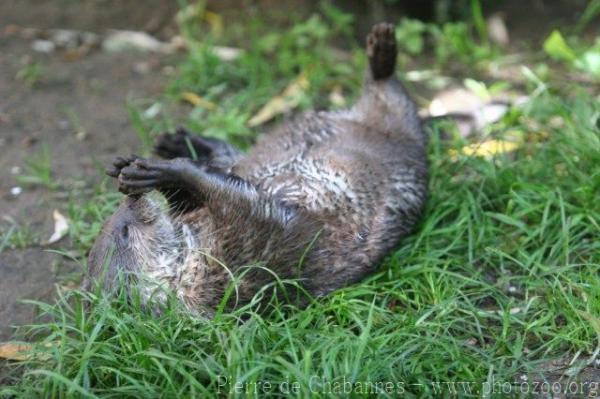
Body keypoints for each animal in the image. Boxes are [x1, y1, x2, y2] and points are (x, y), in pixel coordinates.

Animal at [85, 24, 432, 316]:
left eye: (113, 223)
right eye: (124, 232)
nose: (131, 202)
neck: (197, 254)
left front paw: (134, 169)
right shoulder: (249, 249)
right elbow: (228, 194)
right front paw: (171, 171)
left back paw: (176, 142)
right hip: (403, 129)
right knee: (394, 97)